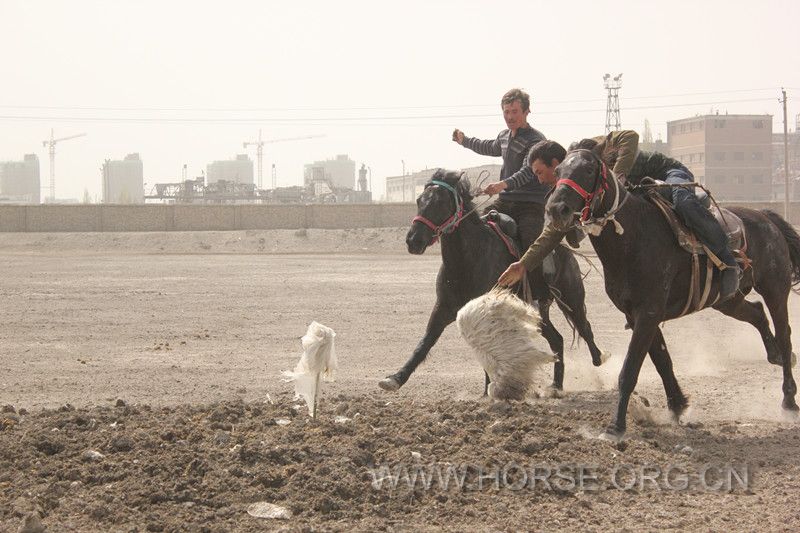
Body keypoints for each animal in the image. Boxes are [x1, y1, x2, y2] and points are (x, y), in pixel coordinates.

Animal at [376, 168, 608, 392]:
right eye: (419, 200)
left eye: (441, 202)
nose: (413, 240)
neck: (467, 260)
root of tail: (567, 252)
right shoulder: (442, 308)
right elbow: (424, 343)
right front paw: (395, 378)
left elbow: (488, 349)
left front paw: (490, 389)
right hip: (539, 312)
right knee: (557, 339)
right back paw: (556, 385)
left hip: (571, 299)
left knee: (584, 327)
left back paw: (598, 359)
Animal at [548, 149, 800, 440]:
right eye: (558, 172)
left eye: (588, 170)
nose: (556, 208)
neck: (634, 235)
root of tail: (766, 217)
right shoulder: (638, 315)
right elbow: (662, 361)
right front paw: (678, 405)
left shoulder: (648, 313)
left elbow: (630, 370)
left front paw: (615, 427)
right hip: (727, 300)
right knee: (757, 312)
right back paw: (774, 355)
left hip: (775, 289)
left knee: (785, 334)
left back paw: (789, 399)